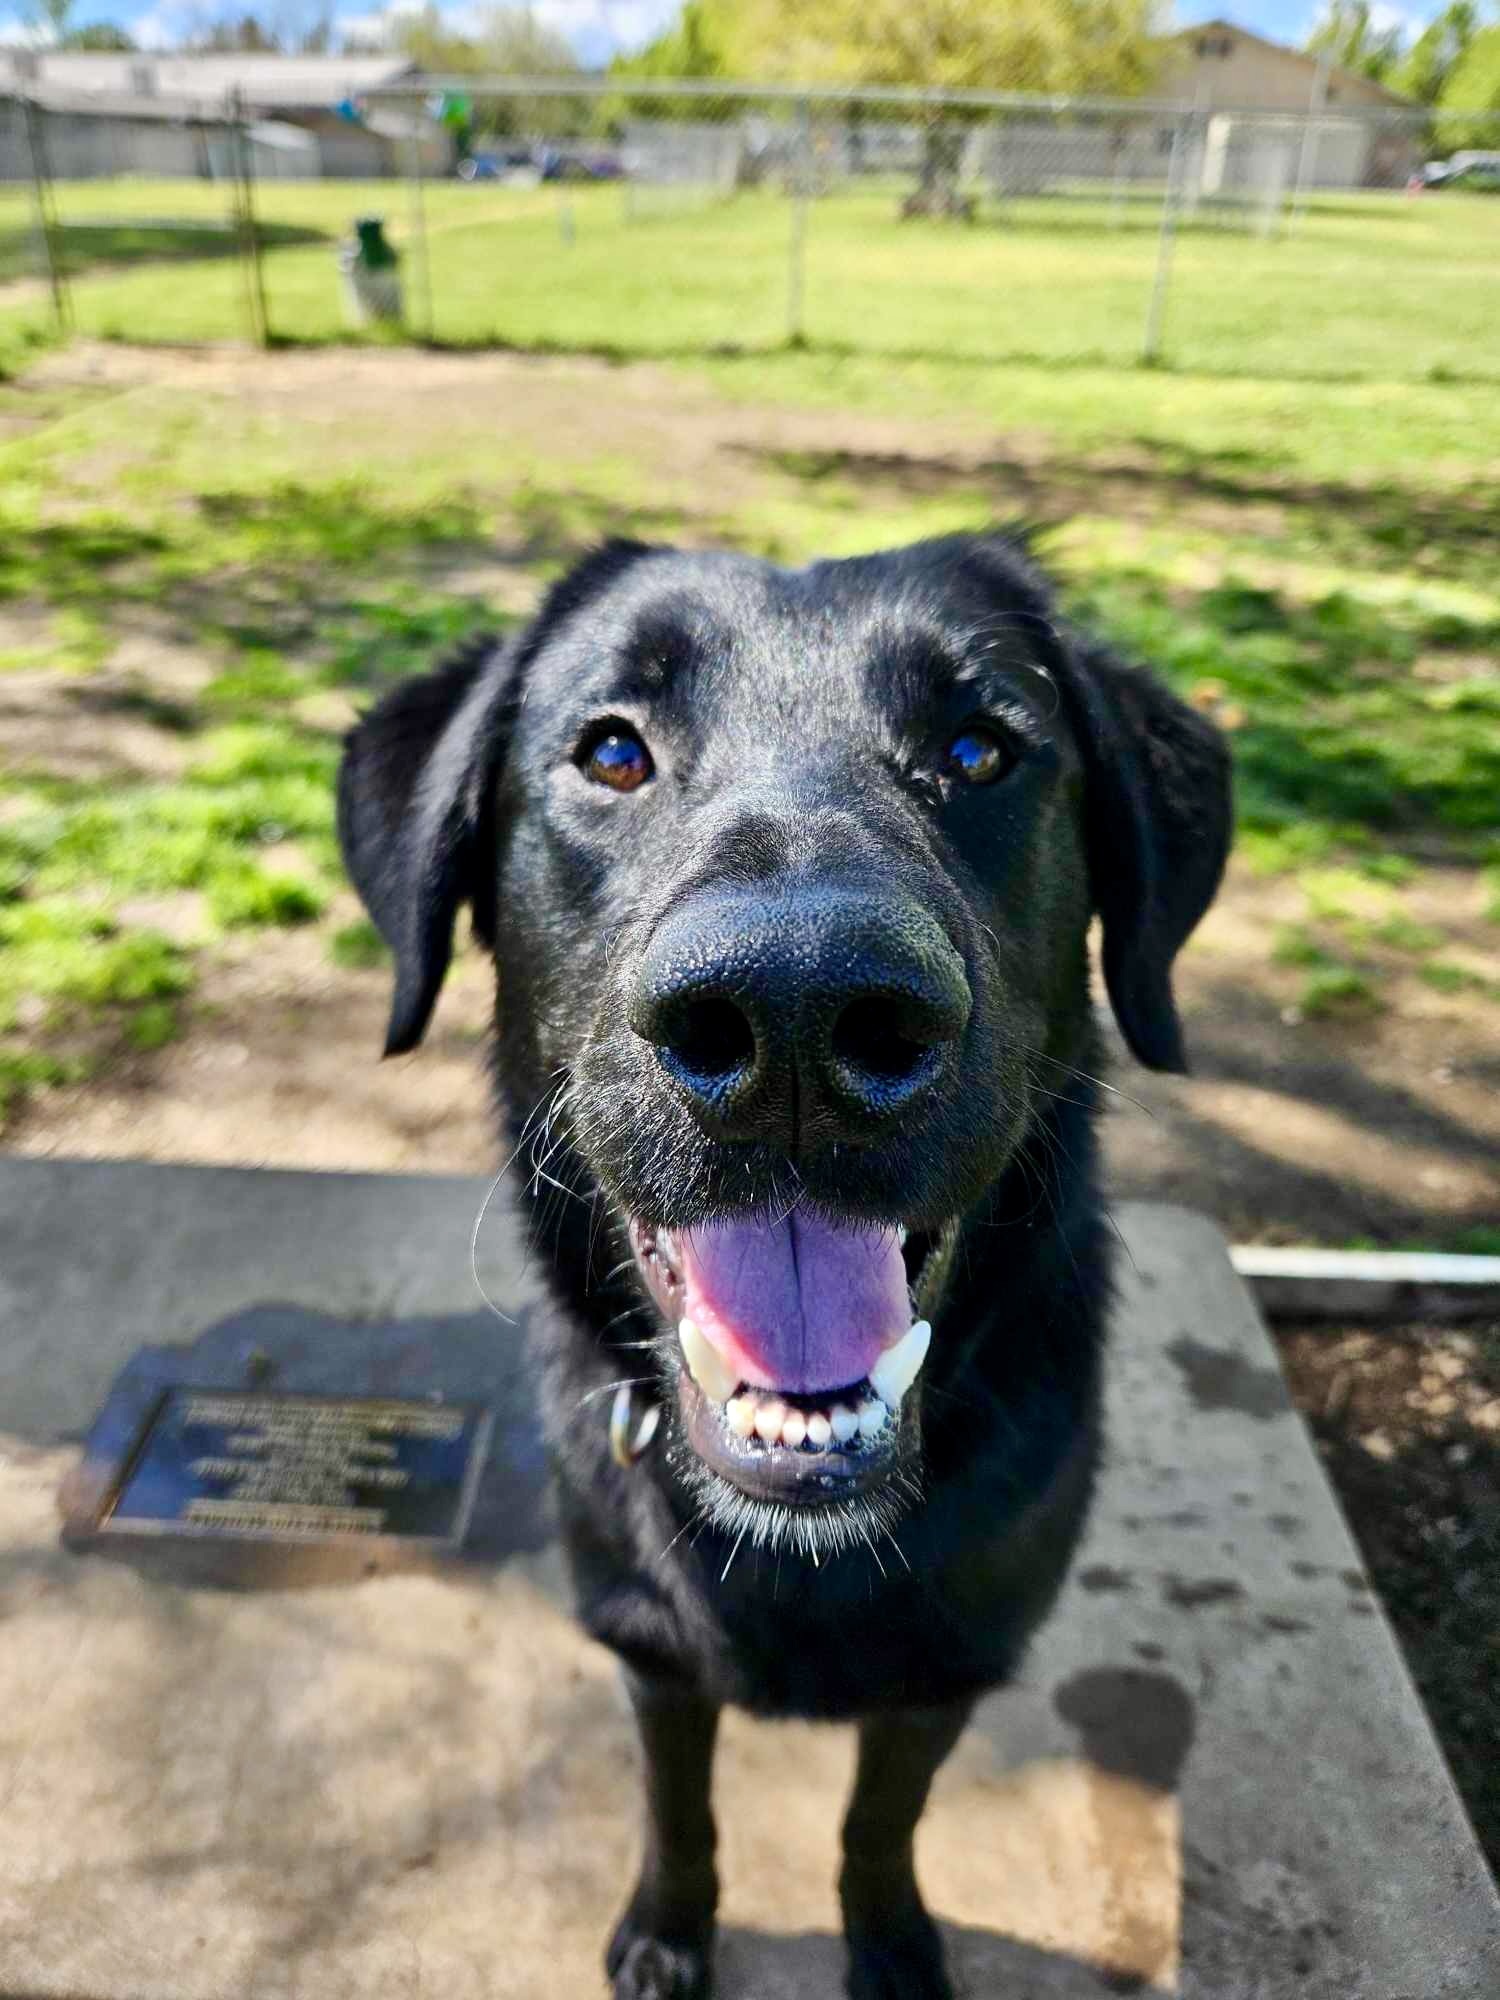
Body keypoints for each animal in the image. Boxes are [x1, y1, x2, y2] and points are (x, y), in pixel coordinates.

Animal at [344, 532, 1232, 2000]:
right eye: (612, 751)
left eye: (981, 748)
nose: (796, 1007)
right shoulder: (650, 1649)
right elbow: (677, 1805)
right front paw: (667, 1931)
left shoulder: (944, 1672)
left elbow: (880, 1825)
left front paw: (890, 1947)